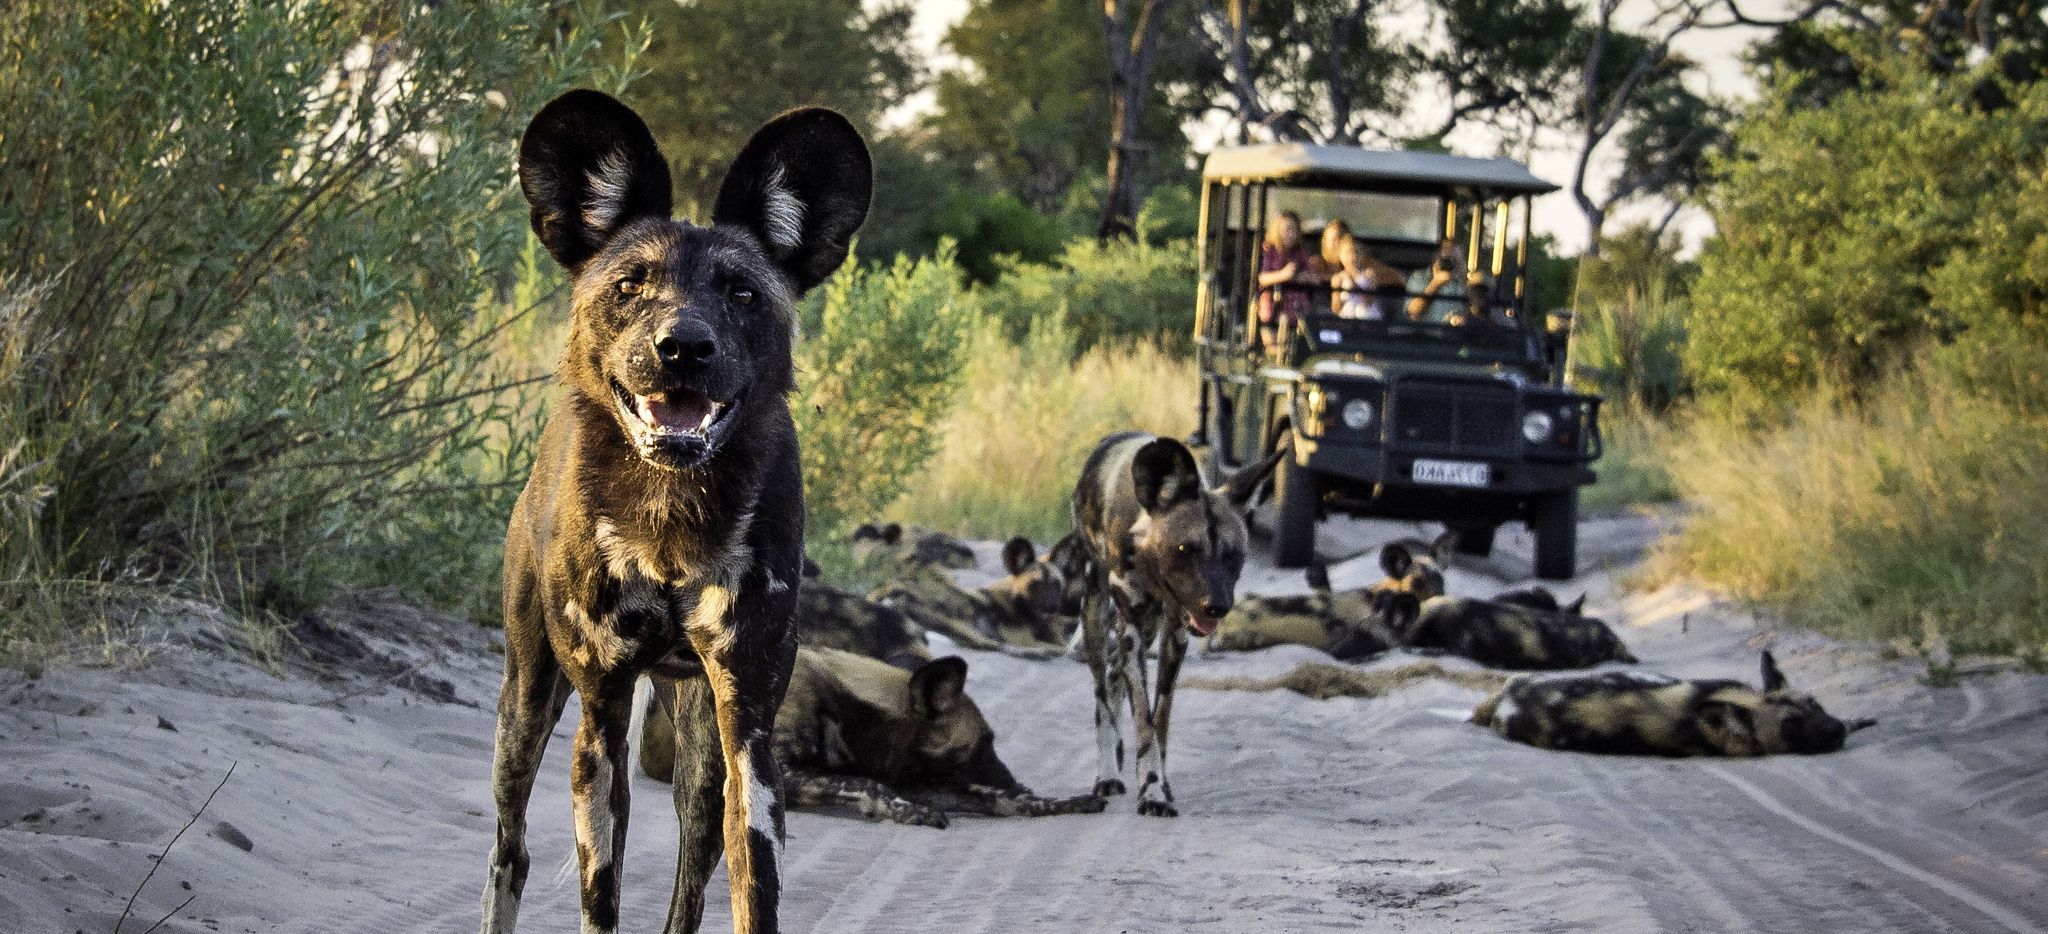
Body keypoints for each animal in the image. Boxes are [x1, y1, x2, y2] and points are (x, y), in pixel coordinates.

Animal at [485, 93, 872, 934]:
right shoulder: (600, 714)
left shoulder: (748, 727)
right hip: (525, 708)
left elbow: (750, 893)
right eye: (630, 285)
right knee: (511, 848)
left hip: (699, 746)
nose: (683, 346)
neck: (670, 519)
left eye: (742, 293)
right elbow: (600, 897)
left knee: (694, 864)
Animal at [638, 647, 1114, 827]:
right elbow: (867, 783)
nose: (1018, 781)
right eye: (985, 745)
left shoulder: (919, 780)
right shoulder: (784, 773)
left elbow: (992, 798)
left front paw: (1059, 801)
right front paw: (905, 812)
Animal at [1073, 434, 1277, 815]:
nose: (1216, 607)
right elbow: (1144, 719)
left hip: (1150, 627)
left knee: (1113, 675)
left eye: (1233, 554)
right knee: (1102, 692)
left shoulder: (1174, 635)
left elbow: (1160, 721)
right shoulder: (1131, 630)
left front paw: (1159, 786)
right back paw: (1107, 775)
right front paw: (1151, 792)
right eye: (1184, 549)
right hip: (1095, 616)